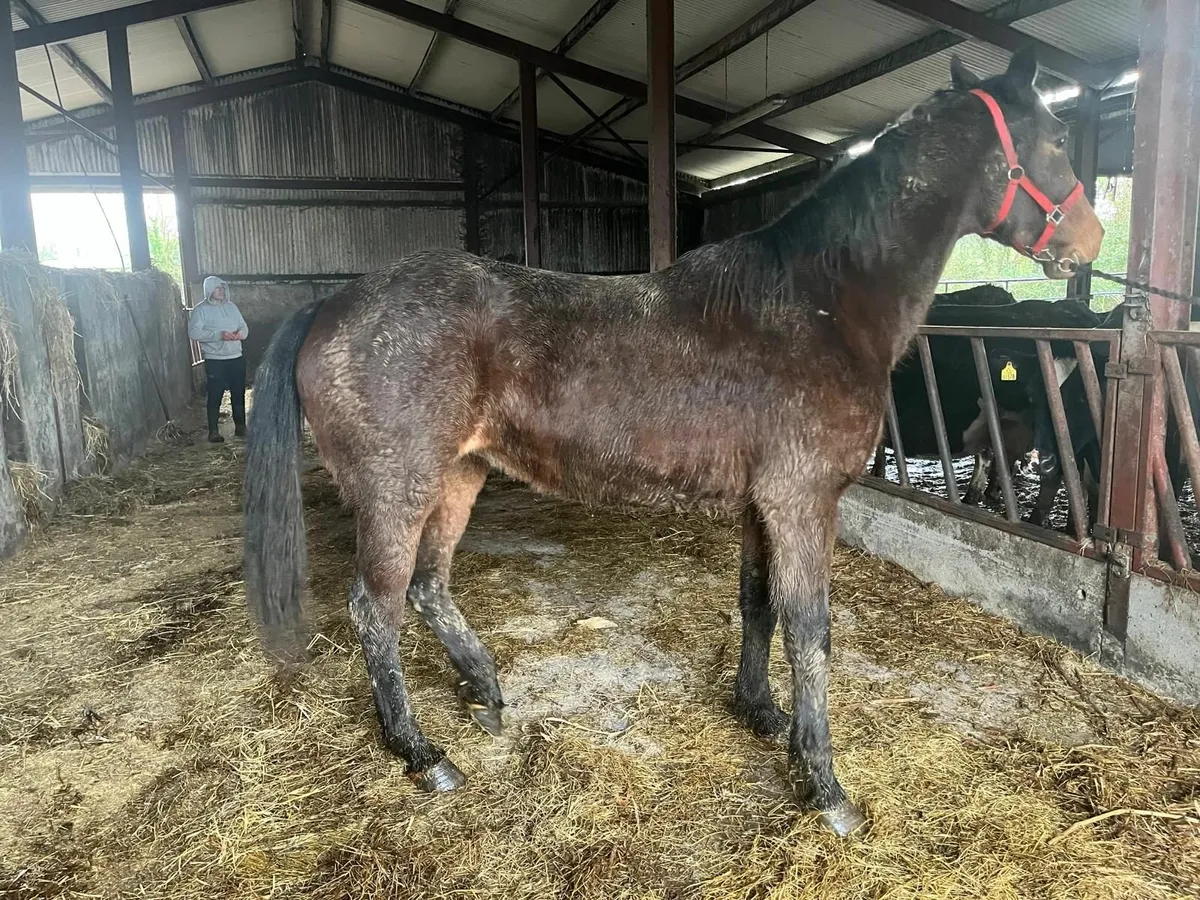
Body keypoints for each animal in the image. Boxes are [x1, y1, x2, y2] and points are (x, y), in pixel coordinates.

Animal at [242, 48, 1103, 838]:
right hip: (398, 493)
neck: (819, 304)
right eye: (1059, 135)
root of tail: (332, 305)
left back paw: (484, 692)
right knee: (376, 608)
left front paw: (760, 713)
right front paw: (825, 787)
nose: (1092, 241)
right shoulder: (803, 502)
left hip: (460, 476)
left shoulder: (764, 503)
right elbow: (811, 630)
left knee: (427, 587)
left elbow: (758, 604)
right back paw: (421, 753)